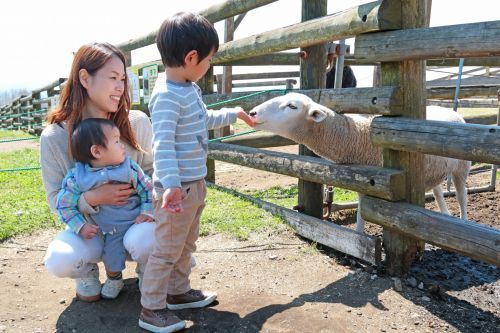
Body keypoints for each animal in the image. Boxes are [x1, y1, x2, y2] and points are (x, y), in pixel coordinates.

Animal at [248, 92, 470, 232]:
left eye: (292, 106)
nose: (252, 113)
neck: (358, 138)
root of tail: (450, 110)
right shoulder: (364, 184)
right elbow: (362, 215)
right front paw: (360, 240)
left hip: (461, 168)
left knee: (461, 195)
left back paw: (463, 221)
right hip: (433, 169)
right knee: (438, 191)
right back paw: (445, 215)